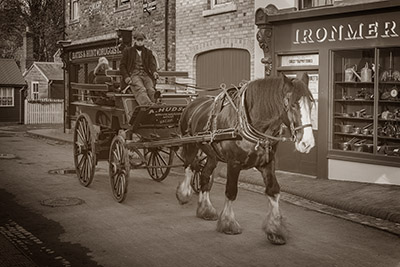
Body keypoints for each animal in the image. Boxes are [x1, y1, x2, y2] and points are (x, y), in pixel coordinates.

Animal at [177, 73, 314, 245]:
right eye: (293, 104)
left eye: (311, 103)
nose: (307, 143)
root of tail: (193, 102)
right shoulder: (233, 164)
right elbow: (231, 192)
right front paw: (228, 223)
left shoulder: (267, 163)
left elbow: (273, 191)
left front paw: (276, 229)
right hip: (190, 145)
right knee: (189, 167)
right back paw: (183, 194)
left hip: (212, 155)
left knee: (205, 176)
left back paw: (205, 209)